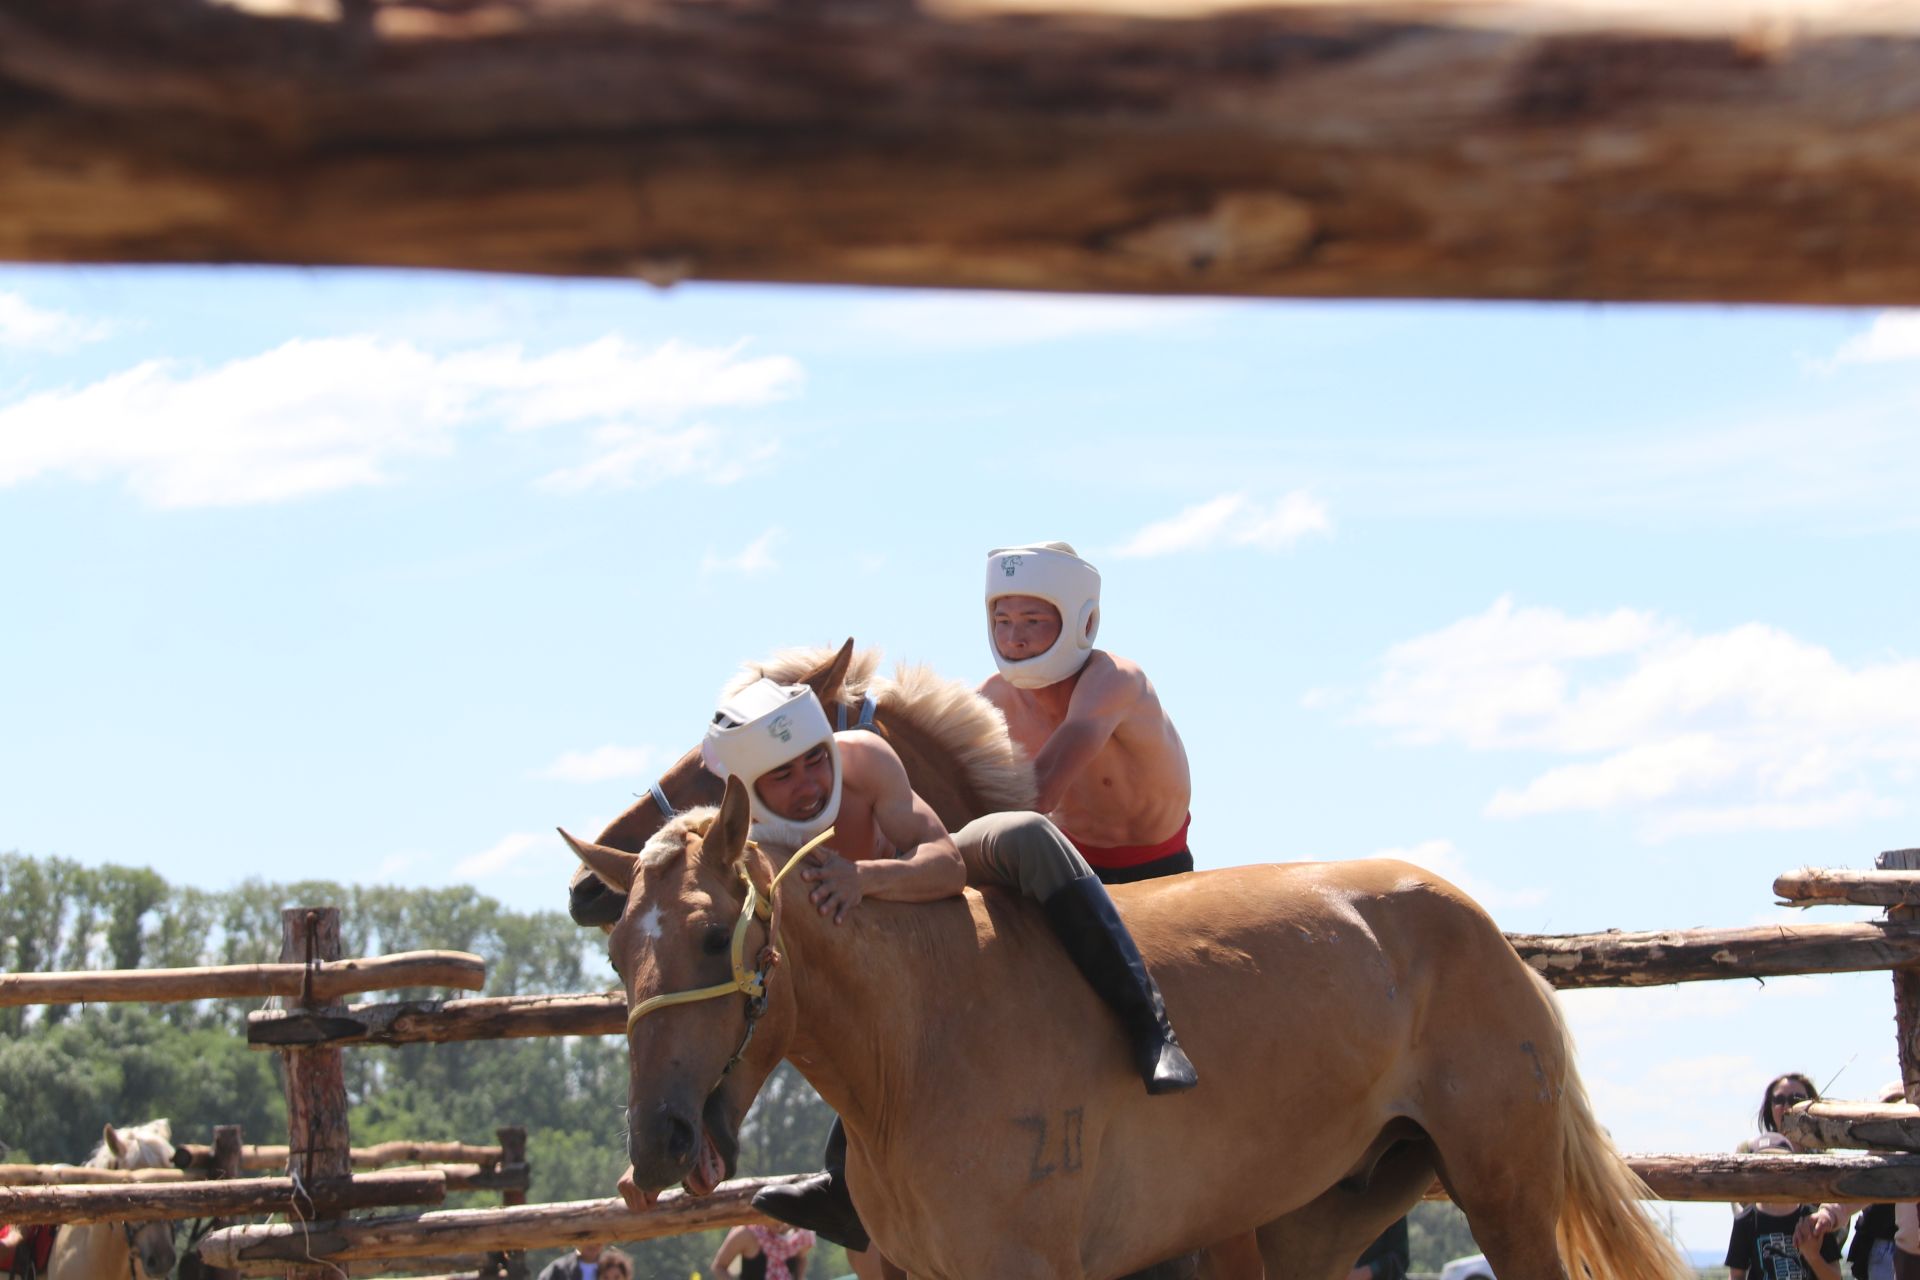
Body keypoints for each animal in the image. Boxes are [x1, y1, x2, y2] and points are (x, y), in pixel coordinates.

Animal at [568, 782, 1697, 1280]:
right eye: (619, 954)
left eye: (711, 935)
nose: (657, 1142)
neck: (919, 1042)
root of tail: (1489, 935)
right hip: (1331, 1215)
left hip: (1504, 1192)